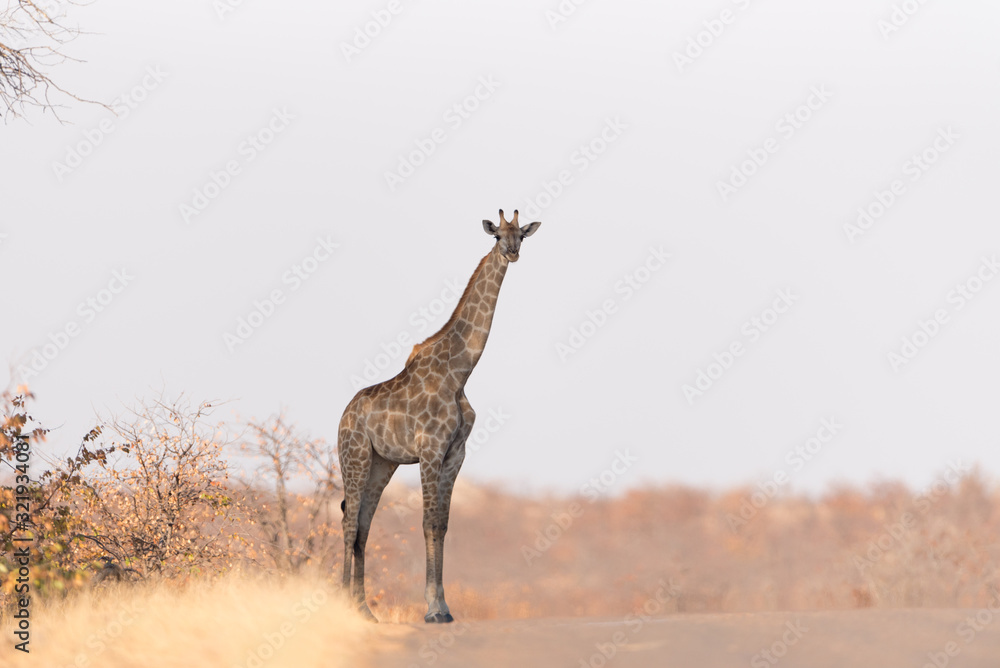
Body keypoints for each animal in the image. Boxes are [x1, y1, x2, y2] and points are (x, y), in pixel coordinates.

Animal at [338, 209, 541, 624]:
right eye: (497, 236)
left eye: (522, 236)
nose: (512, 253)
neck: (460, 372)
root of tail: (341, 418)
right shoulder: (430, 449)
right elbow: (428, 520)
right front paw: (432, 608)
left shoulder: (455, 453)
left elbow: (443, 524)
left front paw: (444, 608)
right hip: (355, 456)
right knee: (349, 523)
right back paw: (340, 603)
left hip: (382, 463)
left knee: (362, 523)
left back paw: (363, 609)